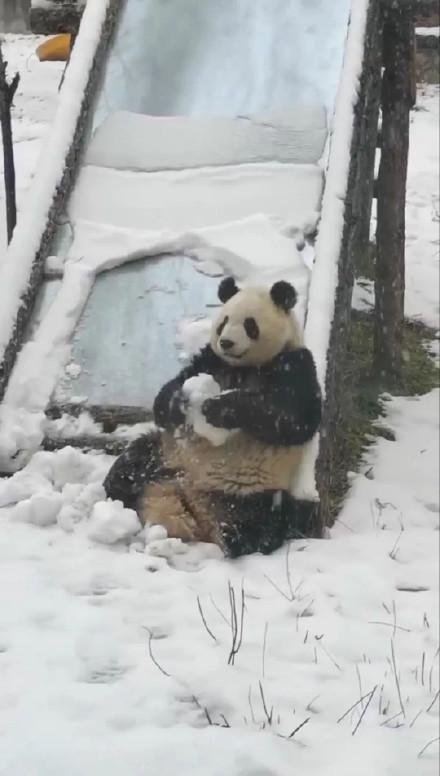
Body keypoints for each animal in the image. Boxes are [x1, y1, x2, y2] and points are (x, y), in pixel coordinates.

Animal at [104, 278, 324, 556]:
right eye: (223, 322)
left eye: (250, 325)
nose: (227, 342)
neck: (243, 367)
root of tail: (190, 498)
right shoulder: (211, 359)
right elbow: (169, 393)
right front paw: (180, 402)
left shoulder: (294, 364)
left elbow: (293, 417)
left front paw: (218, 408)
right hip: (167, 455)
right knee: (132, 463)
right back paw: (119, 495)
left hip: (251, 492)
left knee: (256, 524)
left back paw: (240, 535)